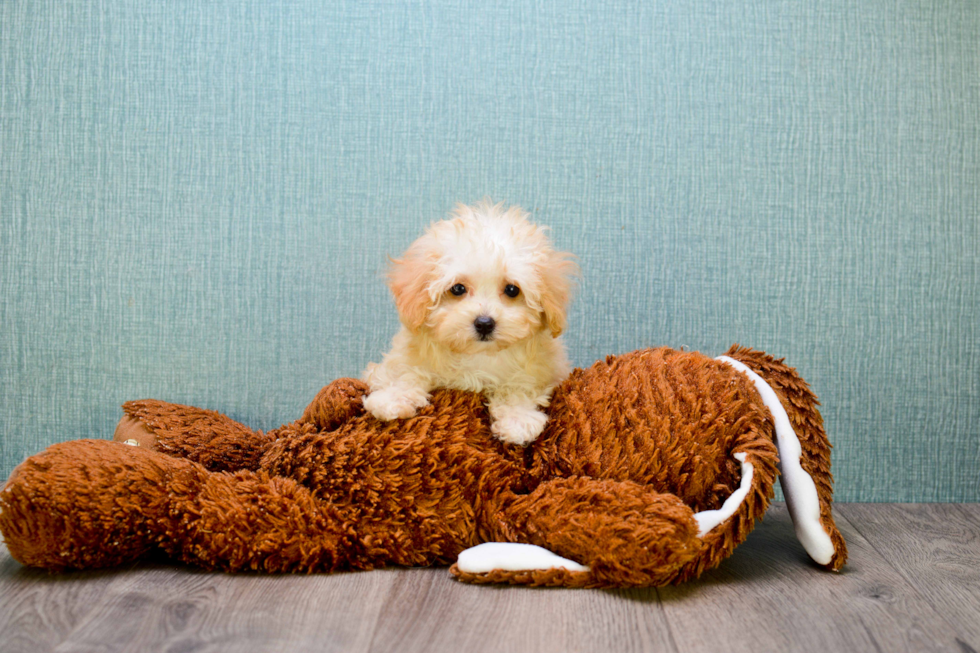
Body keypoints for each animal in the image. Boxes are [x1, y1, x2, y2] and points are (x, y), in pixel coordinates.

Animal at [358, 200, 576, 444]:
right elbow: (406, 372)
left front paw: (517, 420)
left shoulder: (544, 369)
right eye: (458, 288)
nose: (484, 323)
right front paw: (391, 399)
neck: (476, 356)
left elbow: (521, 386)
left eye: (512, 290)